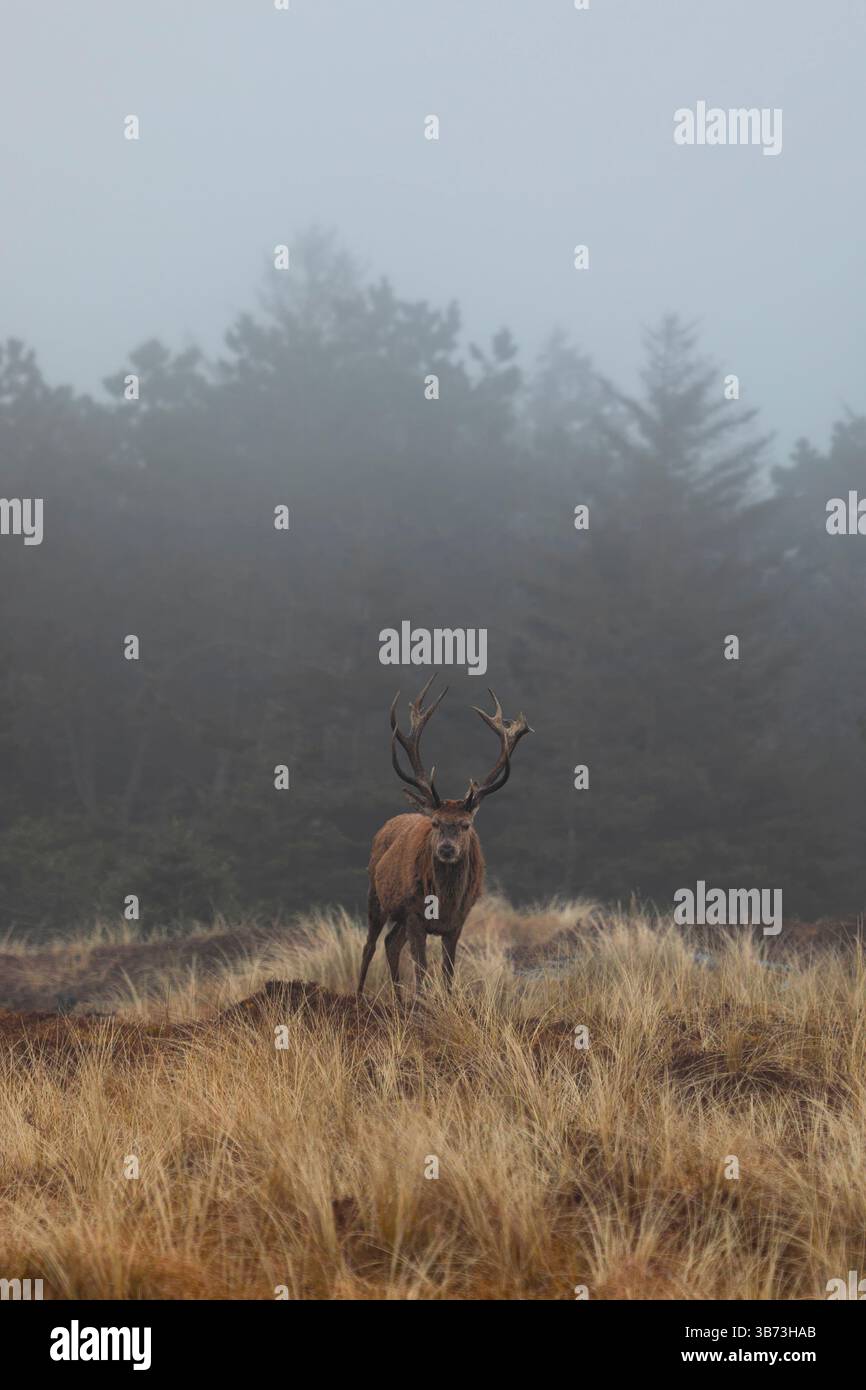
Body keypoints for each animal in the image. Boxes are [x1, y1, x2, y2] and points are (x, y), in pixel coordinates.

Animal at [356, 674, 532, 998]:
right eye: (436, 823)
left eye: (466, 825)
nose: (447, 849)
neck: (444, 904)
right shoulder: (414, 914)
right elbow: (422, 969)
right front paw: (421, 1003)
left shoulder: (458, 922)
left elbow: (448, 972)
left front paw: (445, 1003)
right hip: (376, 895)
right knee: (370, 945)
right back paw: (360, 997)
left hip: (400, 917)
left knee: (390, 943)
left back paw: (398, 1000)